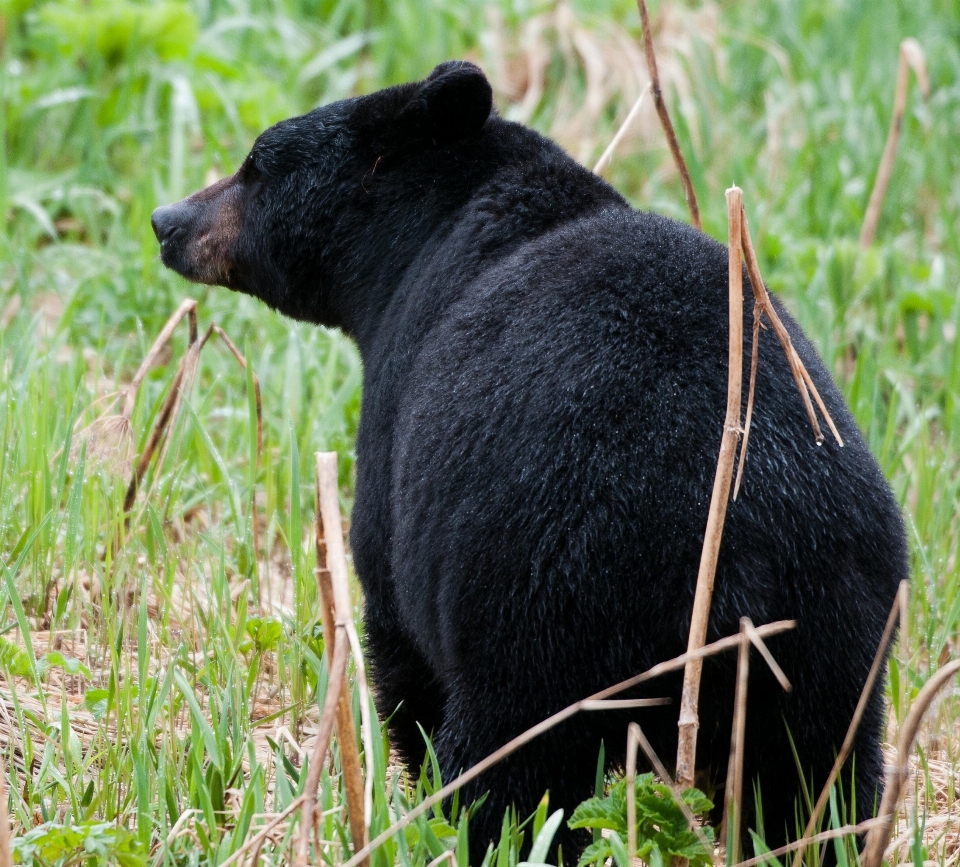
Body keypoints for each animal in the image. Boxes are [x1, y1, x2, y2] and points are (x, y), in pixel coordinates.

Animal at [152, 59, 908, 860]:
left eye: (256, 164)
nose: (167, 220)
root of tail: (741, 544)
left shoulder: (397, 437)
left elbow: (399, 641)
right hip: (837, 638)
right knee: (815, 787)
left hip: (545, 610)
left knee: (512, 769)